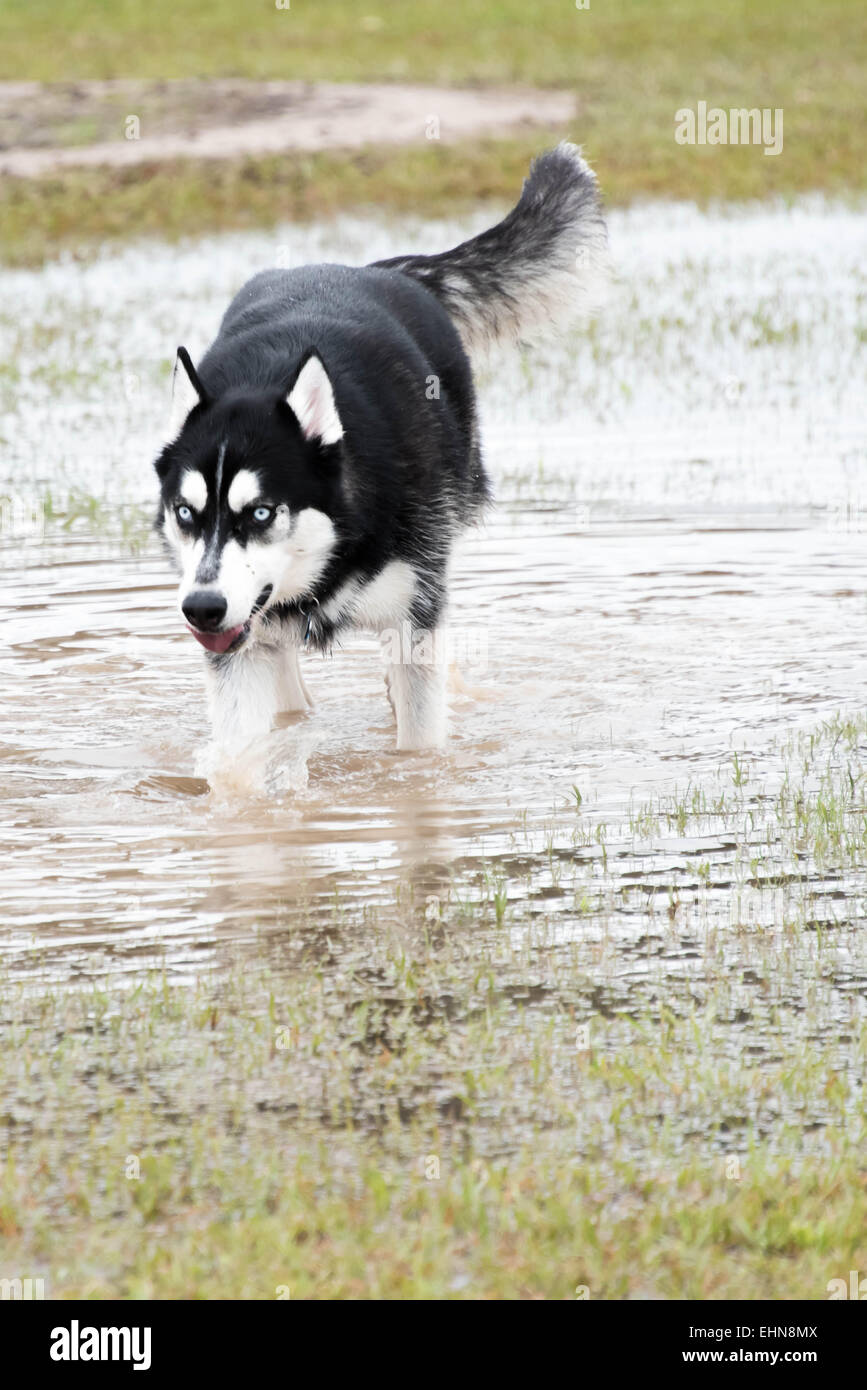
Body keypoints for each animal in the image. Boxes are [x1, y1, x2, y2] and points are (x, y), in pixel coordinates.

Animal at [152, 143, 605, 750]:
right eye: (186, 513)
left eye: (262, 512)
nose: (201, 608)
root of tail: (374, 271)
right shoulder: (242, 643)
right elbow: (240, 753)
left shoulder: (414, 612)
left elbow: (419, 744)